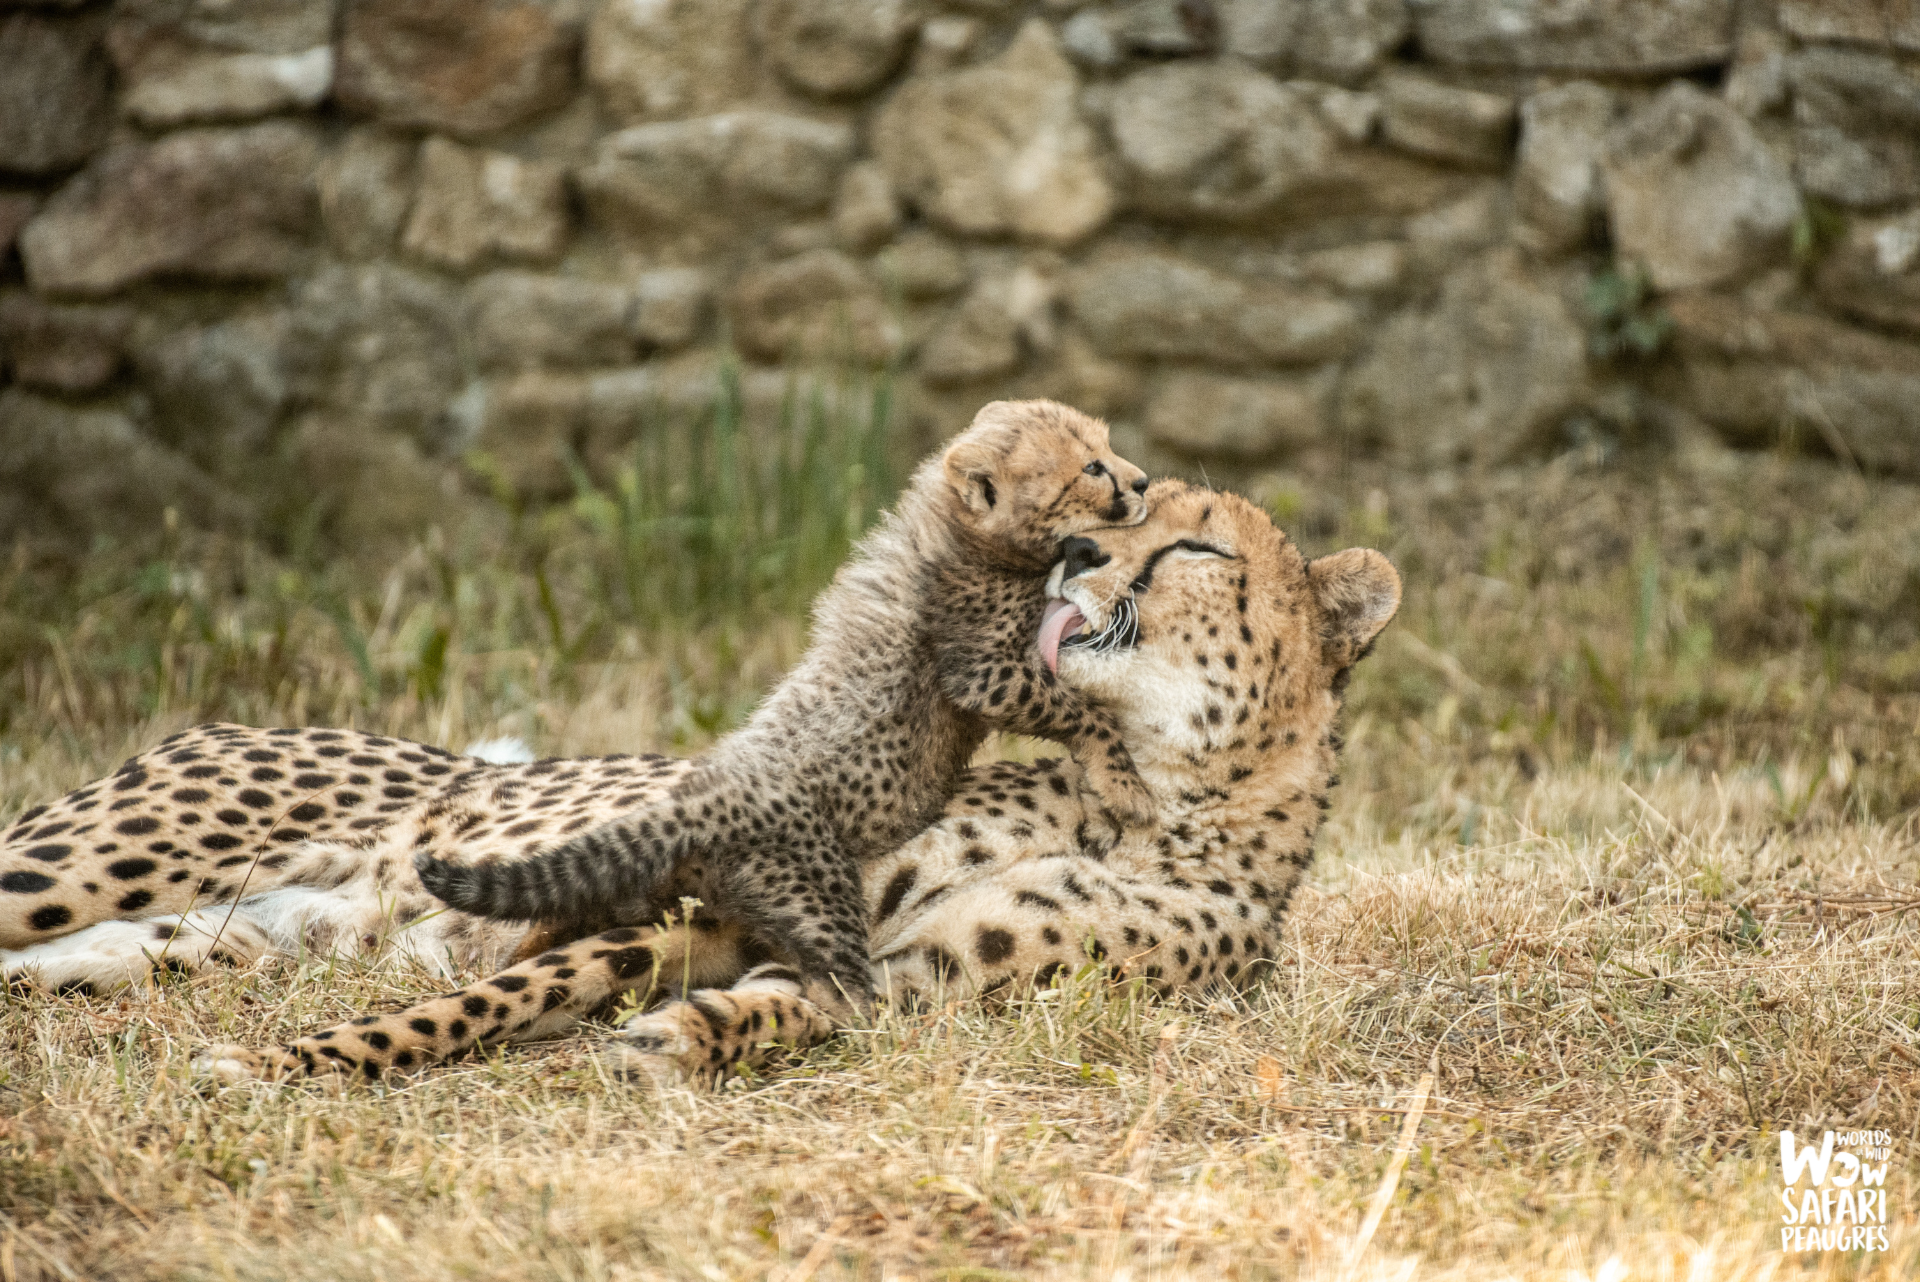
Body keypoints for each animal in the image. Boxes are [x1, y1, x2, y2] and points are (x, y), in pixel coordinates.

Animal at [198, 479, 1397, 1082]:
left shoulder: (913, 985)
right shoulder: (727, 907)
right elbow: (504, 993)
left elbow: (787, 1009)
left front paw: (687, 1037)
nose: (1072, 556)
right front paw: (301, 1059)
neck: (1135, 788)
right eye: (1114, 515)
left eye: (1197, 546)